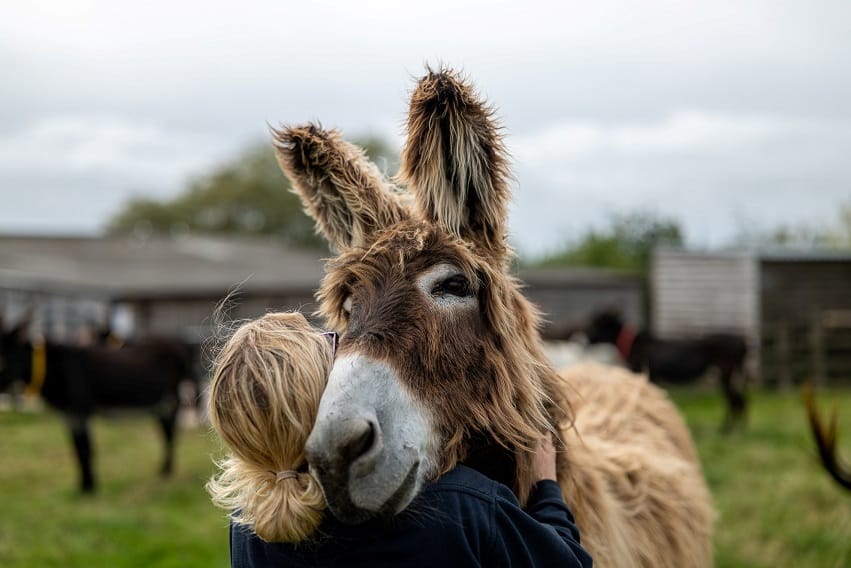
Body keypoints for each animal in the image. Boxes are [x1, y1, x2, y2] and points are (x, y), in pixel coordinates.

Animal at [1, 320, 200, 492]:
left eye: (5, 357)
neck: (58, 367)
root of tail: (182, 344)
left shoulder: (80, 410)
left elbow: (86, 449)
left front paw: (89, 488)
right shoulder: (69, 415)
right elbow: (77, 449)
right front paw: (83, 485)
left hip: (171, 398)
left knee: (170, 432)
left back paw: (167, 471)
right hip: (162, 402)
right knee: (166, 431)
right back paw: (165, 470)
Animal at [588, 310, 748, 430]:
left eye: (597, 324)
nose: (586, 335)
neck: (634, 344)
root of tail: (743, 342)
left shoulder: (648, 374)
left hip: (726, 372)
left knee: (733, 399)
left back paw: (728, 429)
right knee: (738, 399)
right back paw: (735, 428)